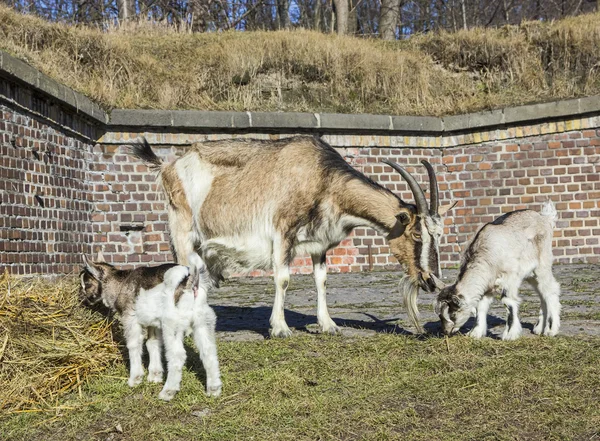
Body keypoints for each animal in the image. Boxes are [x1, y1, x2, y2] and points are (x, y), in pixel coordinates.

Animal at [130, 136, 450, 336]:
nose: (433, 281)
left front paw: (328, 325)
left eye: (439, 235)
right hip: (182, 229)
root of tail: (167, 166)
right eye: (417, 235)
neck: (322, 177)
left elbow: (321, 280)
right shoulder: (282, 232)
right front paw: (280, 328)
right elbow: (283, 279)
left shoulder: (319, 242)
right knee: (184, 275)